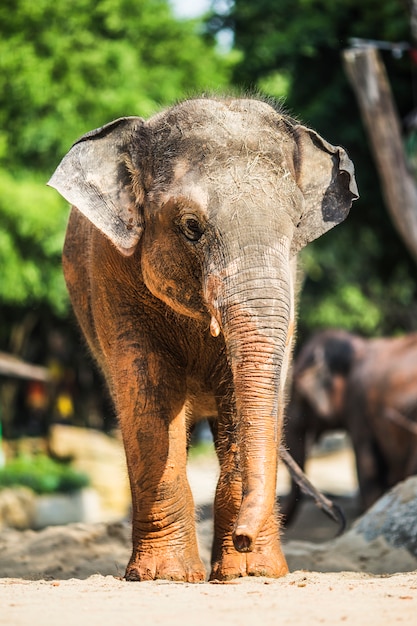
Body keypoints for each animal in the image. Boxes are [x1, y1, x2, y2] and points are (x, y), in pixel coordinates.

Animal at [48, 96, 354, 580]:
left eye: (295, 228)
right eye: (191, 226)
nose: (244, 537)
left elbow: (245, 397)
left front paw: (250, 573)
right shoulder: (109, 274)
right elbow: (147, 393)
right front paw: (165, 576)